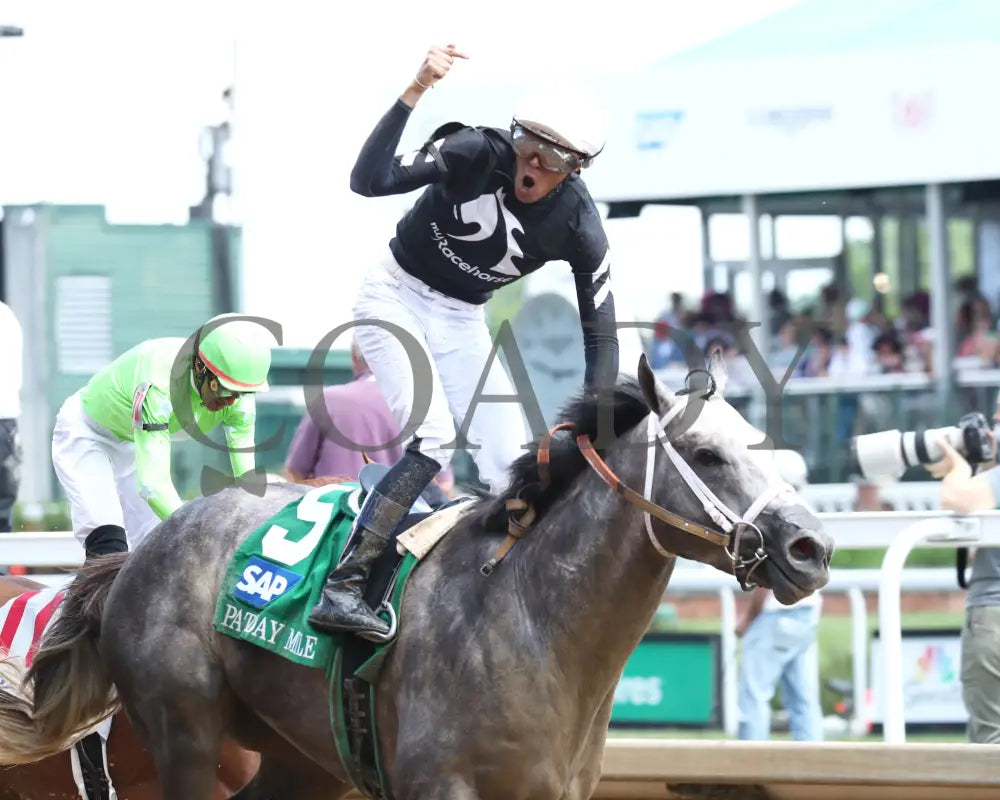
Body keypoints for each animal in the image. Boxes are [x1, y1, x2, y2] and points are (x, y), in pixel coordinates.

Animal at [0, 356, 832, 800]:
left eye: (754, 440)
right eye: (707, 453)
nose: (812, 548)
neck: (531, 624)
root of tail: (138, 556)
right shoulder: (441, 787)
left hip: (302, 762)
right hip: (185, 735)